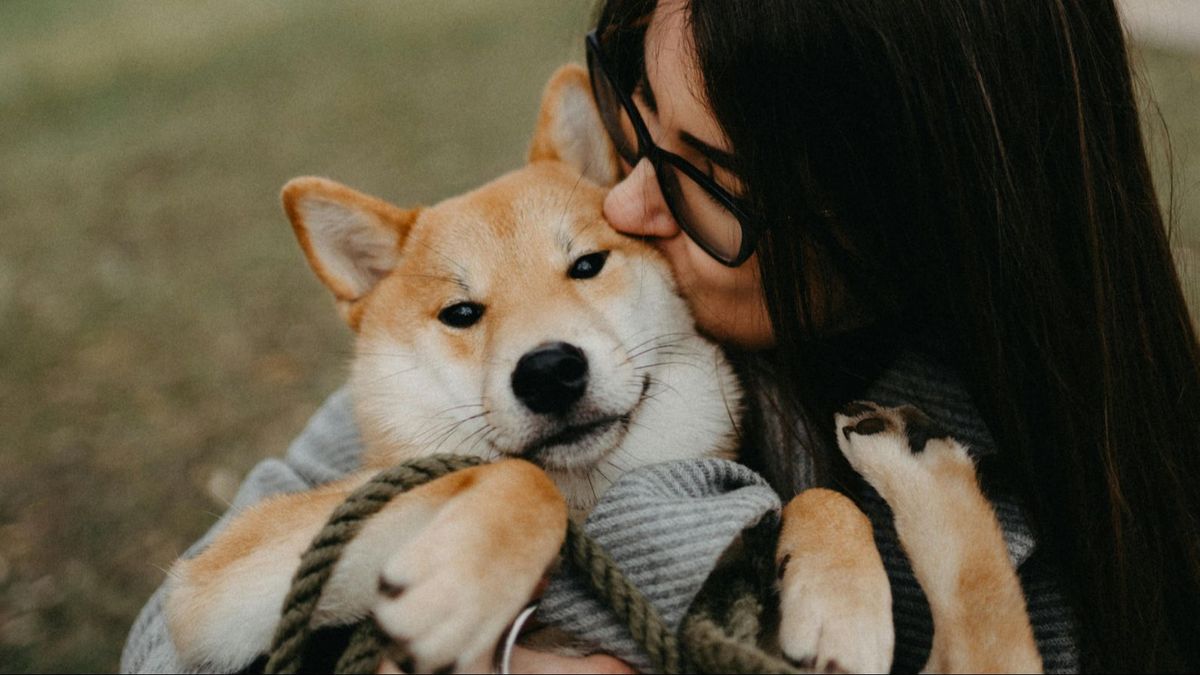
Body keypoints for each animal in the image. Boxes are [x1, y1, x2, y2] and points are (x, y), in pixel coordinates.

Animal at [162, 64, 1041, 672]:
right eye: (461, 314)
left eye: (586, 264)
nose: (549, 370)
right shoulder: (214, 585)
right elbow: (521, 474)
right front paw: (461, 580)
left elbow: (820, 495)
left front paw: (841, 598)